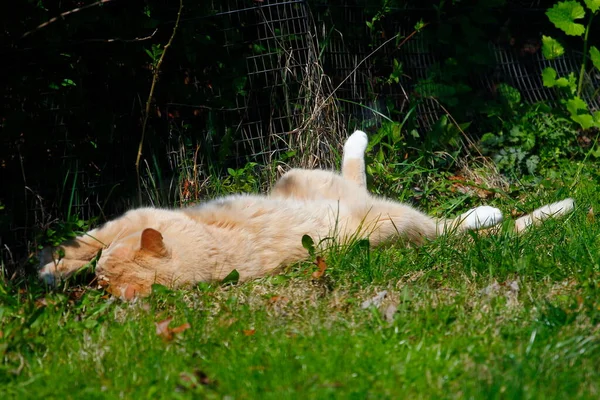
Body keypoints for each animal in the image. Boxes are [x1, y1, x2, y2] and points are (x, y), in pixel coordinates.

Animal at [38, 133, 576, 298]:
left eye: (106, 271)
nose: (96, 279)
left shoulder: (137, 216)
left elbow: (87, 238)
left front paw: (51, 267)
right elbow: (86, 245)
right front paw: (59, 270)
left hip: (321, 187)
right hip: (335, 195)